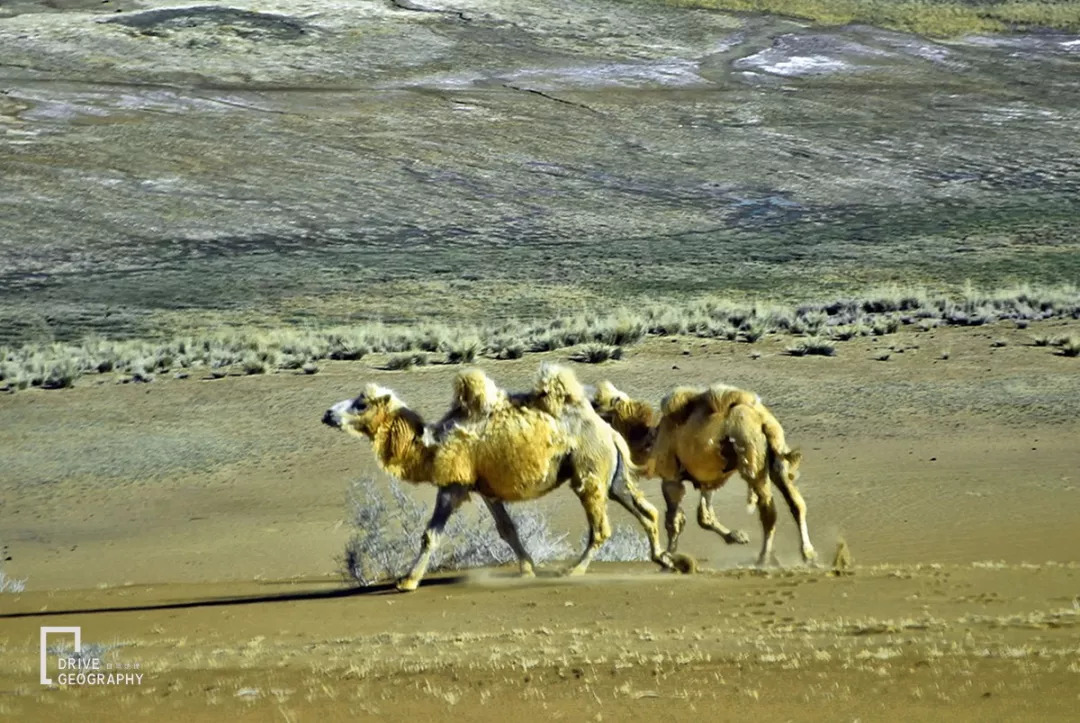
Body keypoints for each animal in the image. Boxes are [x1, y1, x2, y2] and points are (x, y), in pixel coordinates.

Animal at [322, 366, 677, 591]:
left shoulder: (454, 485)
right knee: (646, 511)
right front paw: (527, 569)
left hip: (588, 471)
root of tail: (609, 432)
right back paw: (667, 561)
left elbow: (430, 535)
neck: (432, 444)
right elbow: (507, 529)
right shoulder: (486, 490)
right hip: (611, 477)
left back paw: (574, 570)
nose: (327, 414)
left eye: (361, 404)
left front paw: (407, 581)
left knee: (601, 527)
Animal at [590, 380, 815, 568]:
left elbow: (674, 521)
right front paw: (737, 536)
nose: (589, 411)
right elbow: (704, 517)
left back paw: (764, 558)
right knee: (796, 503)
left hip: (751, 459)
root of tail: (763, 420)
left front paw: (670, 556)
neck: (651, 440)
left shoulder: (671, 478)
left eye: (598, 403)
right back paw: (808, 555)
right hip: (777, 458)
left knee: (769, 510)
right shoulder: (708, 479)